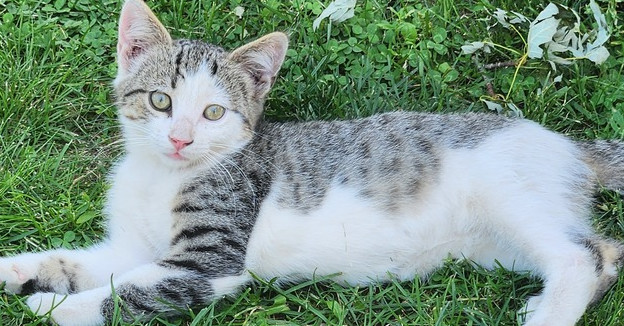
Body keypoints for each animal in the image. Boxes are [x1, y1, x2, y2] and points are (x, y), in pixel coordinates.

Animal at [1, 0, 624, 326]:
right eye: (160, 102)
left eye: (213, 112)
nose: (179, 138)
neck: (163, 176)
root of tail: (565, 143)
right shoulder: (131, 246)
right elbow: (80, 262)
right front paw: (20, 272)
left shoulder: (212, 261)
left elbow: (123, 291)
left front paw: (50, 305)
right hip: (495, 245)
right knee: (606, 250)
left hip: (509, 194)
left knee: (581, 255)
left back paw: (550, 314)